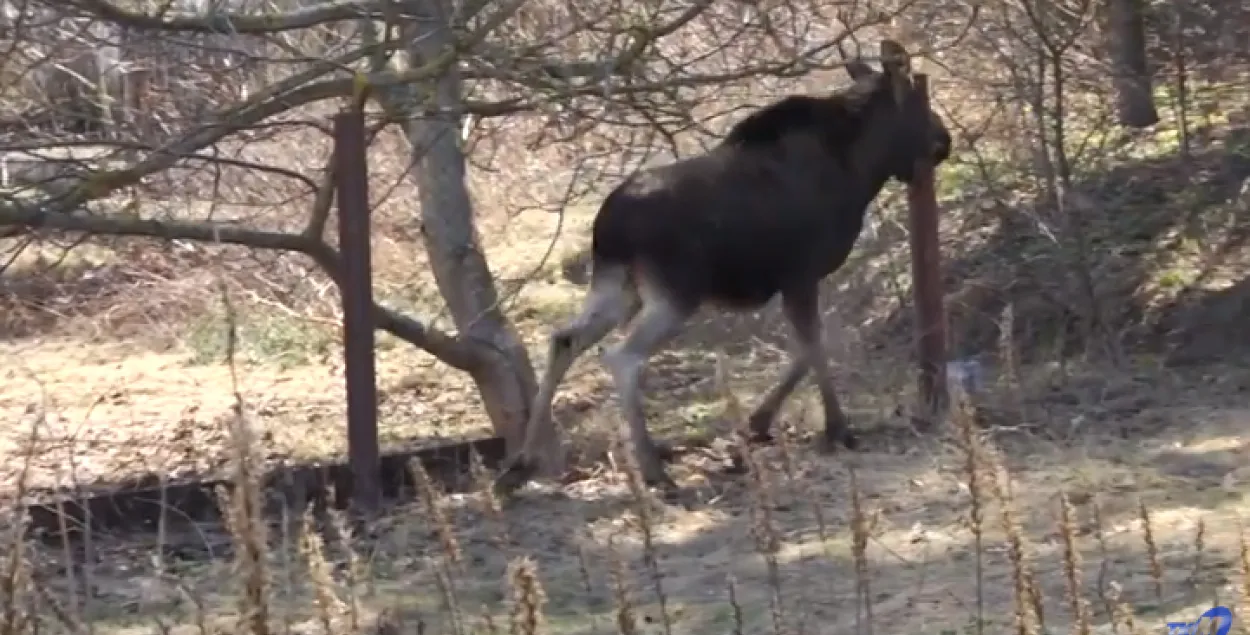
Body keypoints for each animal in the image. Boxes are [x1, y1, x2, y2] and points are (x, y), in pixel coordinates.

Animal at [492, 38, 950, 495]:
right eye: (918, 103)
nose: (944, 140)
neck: (861, 169)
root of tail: (608, 225)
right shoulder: (800, 275)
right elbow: (814, 347)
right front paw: (835, 429)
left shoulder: (791, 282)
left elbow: (807, 348)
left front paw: (759, 424)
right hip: (675, 294)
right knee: (624, 357)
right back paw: (655, 470)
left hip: (618, 286)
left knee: (564, 339)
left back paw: (520, 464)